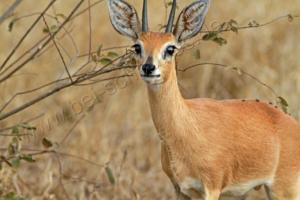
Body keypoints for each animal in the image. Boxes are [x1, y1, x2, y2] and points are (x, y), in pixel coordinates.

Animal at [108, 0, 300, 199]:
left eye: (170, 48)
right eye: (137, 46)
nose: (148, 68)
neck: (186, 126)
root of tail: (292, 123)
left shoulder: (211, 188)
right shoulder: (180, 189)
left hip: (284, 189)